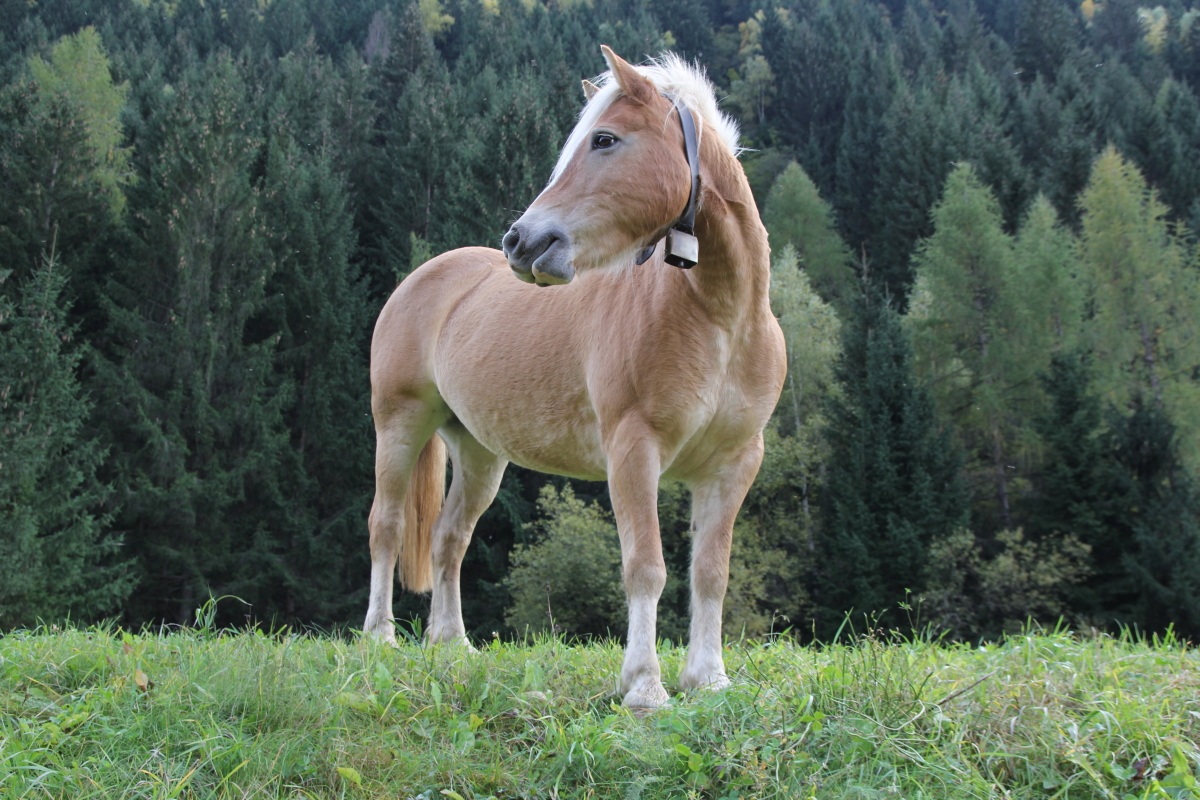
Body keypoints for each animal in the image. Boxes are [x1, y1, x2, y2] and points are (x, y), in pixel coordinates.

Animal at [363, 45, 786, 709]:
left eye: (605, 139)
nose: (521, 241)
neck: (721, 317)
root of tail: (426, 276)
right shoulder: (634, 451)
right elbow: (646, 567)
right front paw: (644, 687)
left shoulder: (734, 463)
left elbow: (710, 572)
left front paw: (709, 679)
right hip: (400, 423)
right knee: (386, 525)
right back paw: (379, 637)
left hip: (479, 452)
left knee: (448, 538)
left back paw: (452, 645)